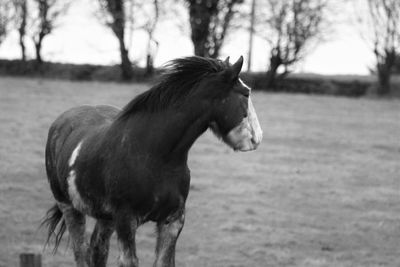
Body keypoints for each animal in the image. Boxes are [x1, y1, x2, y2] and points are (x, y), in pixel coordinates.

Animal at [43, 55, 262, 266]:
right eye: (246, 93)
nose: (257, 138)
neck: (156, 156)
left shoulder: (172, 221)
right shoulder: (126, 220)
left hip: (105, 218)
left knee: (97, 249)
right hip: (69, 206)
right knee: (80, 252)